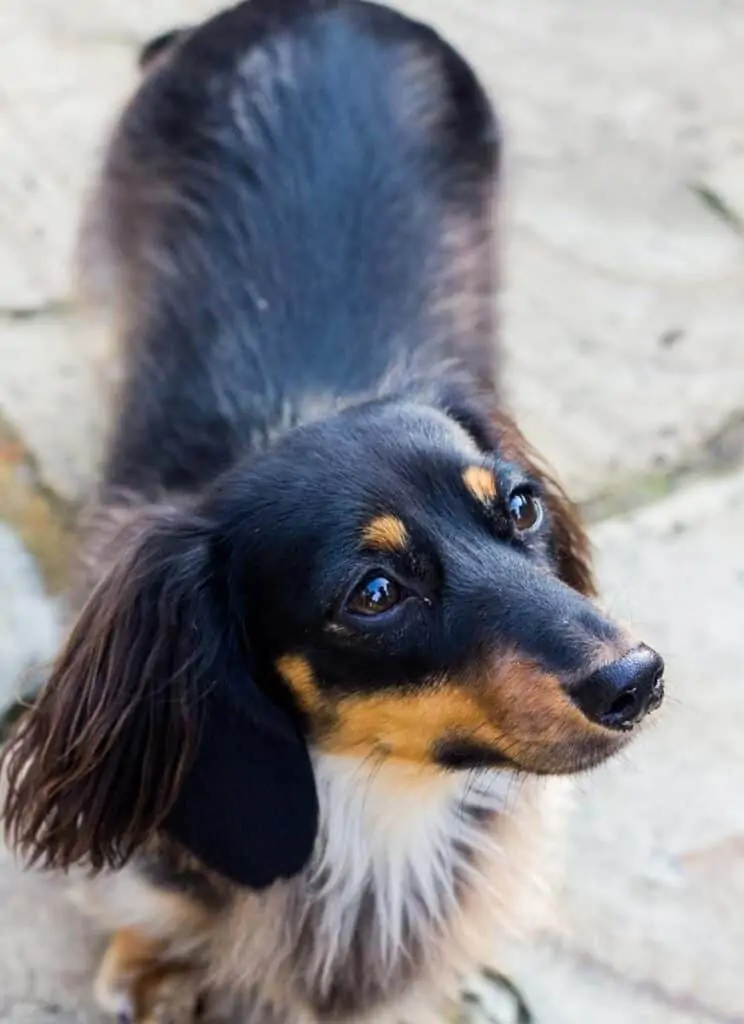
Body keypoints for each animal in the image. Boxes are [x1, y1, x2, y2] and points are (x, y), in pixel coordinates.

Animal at [0, 4, 663, 1019]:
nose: (639, 679)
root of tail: (315, 9)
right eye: (375, 592)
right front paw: (151, 957)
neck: (377, 806)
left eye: (520, 507)